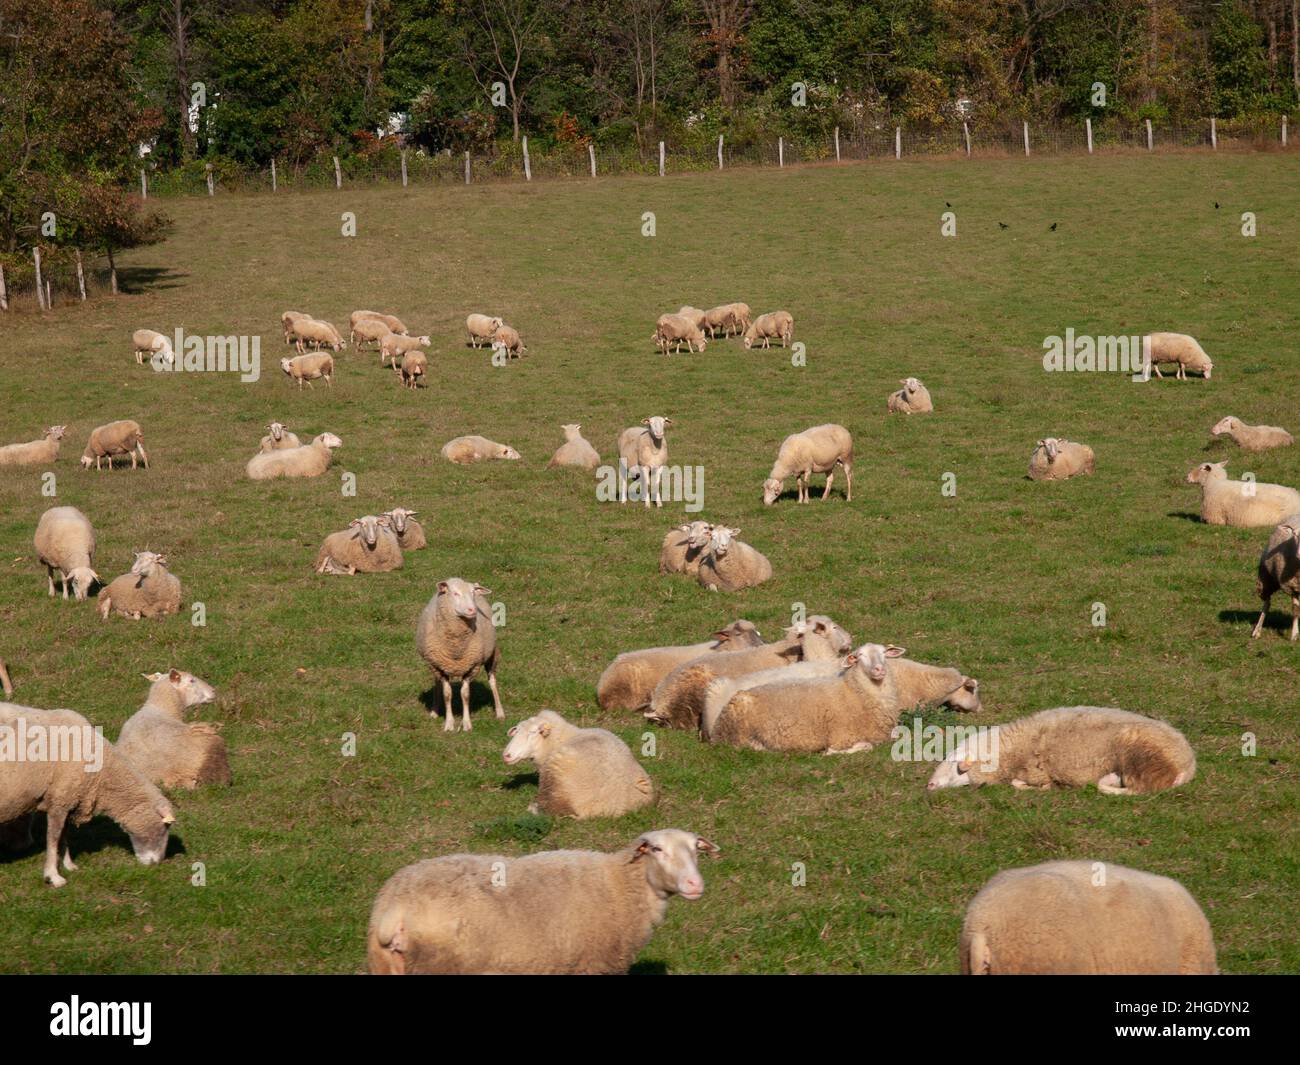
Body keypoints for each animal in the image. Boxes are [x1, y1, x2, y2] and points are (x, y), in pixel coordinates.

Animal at [0, 701, 175, 887]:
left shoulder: (70, 800)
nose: (157, 863)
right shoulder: (59, 800)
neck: (103, 772)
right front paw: (53, 876)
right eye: (164, 828)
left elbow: (64, 836)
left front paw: (69, 865)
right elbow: (53, 839)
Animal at [366, 829, 718, 975]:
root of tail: (393, 905)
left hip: (384, 965)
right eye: (657, 849)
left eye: (695, 849)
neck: (622, 885)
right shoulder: (594, 965)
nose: (694, 884)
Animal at [415, 578, 504, 732]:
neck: (456, 646)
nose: (472, 610)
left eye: (473, 592)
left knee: (492, 681)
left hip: (492, 654)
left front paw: (467, 724)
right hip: (434, 664)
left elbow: (465, 695)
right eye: (455, 593)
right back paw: (434, 711)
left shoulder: (472, 666)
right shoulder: (439, 666)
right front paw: (449, 724)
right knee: (437, 683)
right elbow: (447, 694)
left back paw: (499, 712)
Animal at [708, 643, 907, 754]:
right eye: (859, 656)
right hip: (740, 736)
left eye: (884, 653)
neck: (855, 693)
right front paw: (828, 752)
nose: (879, 669)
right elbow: (863, 746)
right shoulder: (841, 736)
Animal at [927, 706, 1196, 795]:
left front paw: (1044, 787)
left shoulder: (1035, 771)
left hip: (1141, 758)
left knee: (1142, 788)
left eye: (954, 763)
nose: (929, 785)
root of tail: (1188, 764)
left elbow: (1019, 783)